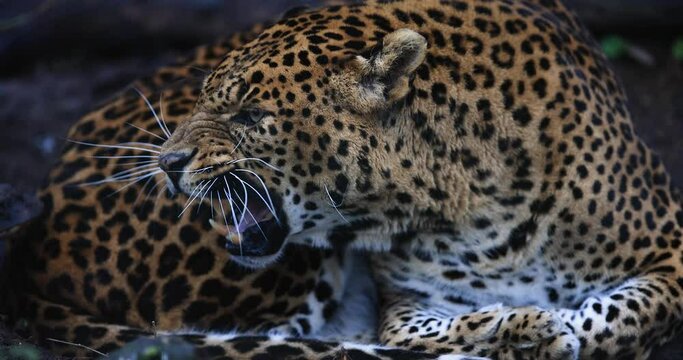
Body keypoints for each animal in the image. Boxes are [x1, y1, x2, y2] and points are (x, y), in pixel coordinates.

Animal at [1, 0, 683, 358]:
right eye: (203, 100)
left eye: (249, 115)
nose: (165, 165)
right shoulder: (406, 301)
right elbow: (422, 334)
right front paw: (519, 327)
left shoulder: (669, 250)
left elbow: (625, 315)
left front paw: (542, 328)